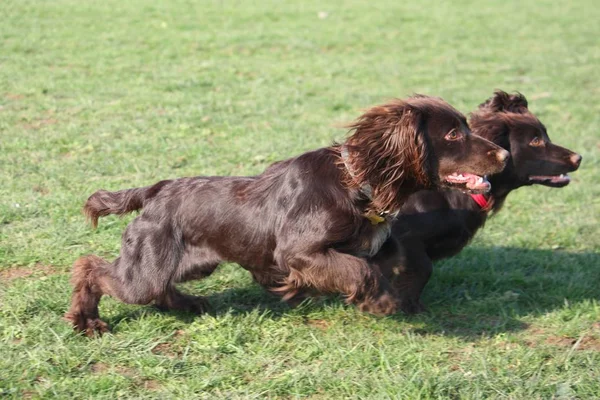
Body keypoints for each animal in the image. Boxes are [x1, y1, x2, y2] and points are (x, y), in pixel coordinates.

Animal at [67, 94, 506, 334]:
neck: (358, 183)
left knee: (158, 288)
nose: (503, 154)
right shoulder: (298, 252)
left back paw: (189, 304)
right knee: (92, 268)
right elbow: (361, 270)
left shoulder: (377, 243)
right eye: (453, 133)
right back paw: (86, 321)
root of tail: (156, 190)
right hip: (148, 268)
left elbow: (394, 258)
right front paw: (379, 302)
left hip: (192, 261)